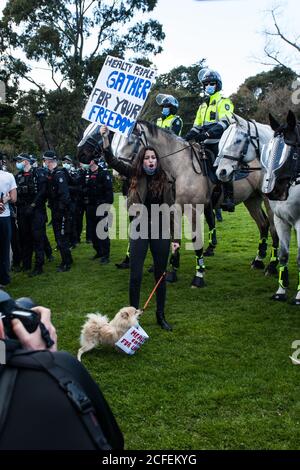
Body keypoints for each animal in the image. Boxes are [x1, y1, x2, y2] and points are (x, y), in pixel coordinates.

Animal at [111, 118, 278, 286]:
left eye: (131, 140)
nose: (117, 173)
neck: (179, 168)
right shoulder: (172, 210)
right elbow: (174, 237)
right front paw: (172, 271)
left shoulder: (192, 210)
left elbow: (195, 239)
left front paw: (199, 275)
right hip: (252, 200)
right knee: (263, 224)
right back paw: (258, 260)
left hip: (268, 202)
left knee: (273, 229)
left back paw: (272, 266)